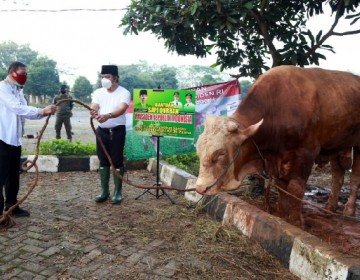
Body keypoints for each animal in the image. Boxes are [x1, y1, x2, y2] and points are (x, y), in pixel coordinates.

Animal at [195, 66, 360, 228]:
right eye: (199, 151)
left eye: (221, 153)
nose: (201, 188)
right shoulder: (275, 157)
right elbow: (281, 185)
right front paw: (281, 213)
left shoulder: (307, 152)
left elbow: (296, 187)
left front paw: (295, 220)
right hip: (337, 145)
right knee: (337, 176)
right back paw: (330, 207)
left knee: (354, 178)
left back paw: (349, 210)